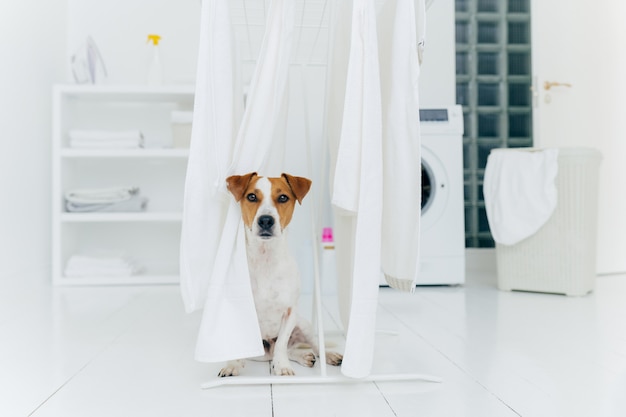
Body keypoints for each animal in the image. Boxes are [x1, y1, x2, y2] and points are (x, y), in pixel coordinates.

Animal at [219, 171, 342, 376]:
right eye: (251, 197)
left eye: (283, 197)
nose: (266, 220)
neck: (265, 257)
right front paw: (233, 364)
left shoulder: (290, 311)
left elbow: (282, 344)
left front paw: (282, 366)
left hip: (304, 324)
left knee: (310, 345)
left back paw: (325, 355)